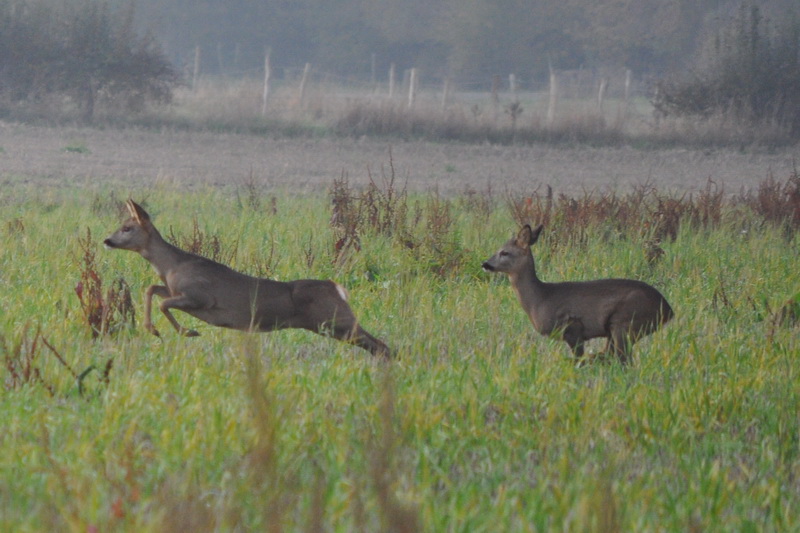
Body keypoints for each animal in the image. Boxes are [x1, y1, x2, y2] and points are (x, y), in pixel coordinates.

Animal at [104, 200, 392, 358]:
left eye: (127, 228)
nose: (107, 240)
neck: (171, 266)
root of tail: (338, 287)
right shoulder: (176, 290)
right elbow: (152, 289)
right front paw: (153, 328)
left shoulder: (201, 297)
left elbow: (162, 301)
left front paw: (187, 331)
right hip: (331, 324)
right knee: (377, 345)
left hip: (335, 320)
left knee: (380, 344)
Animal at [482, 222, 676, 364]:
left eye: (504, 252)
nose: (485, 264)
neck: (540, 299)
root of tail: (668, 310)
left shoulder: (573, 328)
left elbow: (578, 359)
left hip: (626, 322)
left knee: (622, 361)